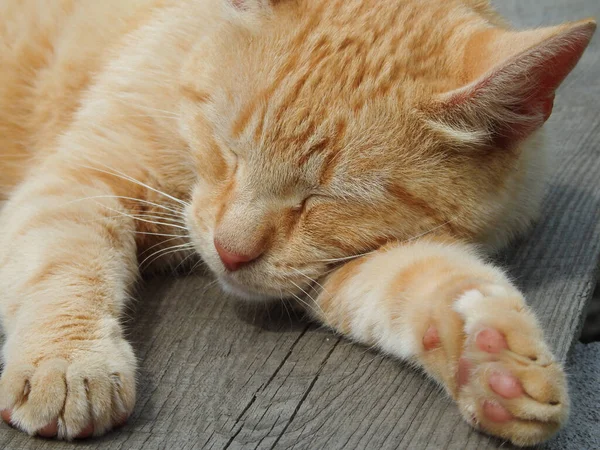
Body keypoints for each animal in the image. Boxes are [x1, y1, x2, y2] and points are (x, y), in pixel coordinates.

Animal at [0, 0, 596, 444]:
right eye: (229, 149)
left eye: (326, 199)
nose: (229, 251)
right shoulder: (80, 181)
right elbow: (67, 264)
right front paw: (69, 362)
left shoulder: (348, 264)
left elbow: (426, 280)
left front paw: (489, 358)